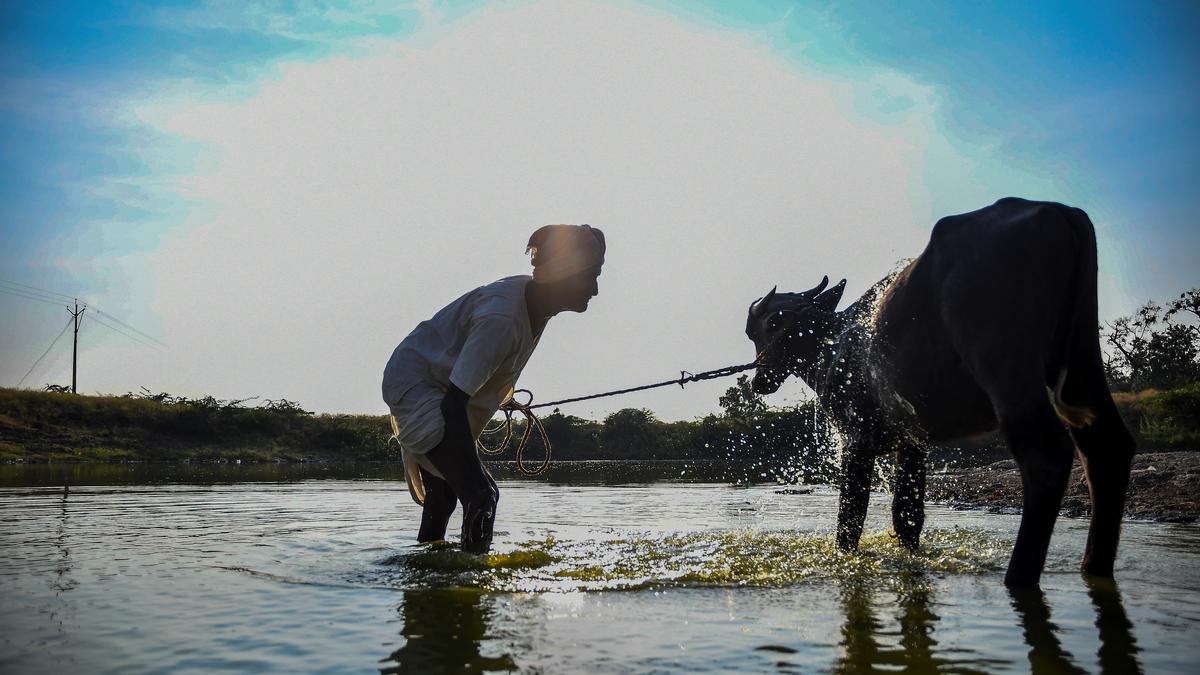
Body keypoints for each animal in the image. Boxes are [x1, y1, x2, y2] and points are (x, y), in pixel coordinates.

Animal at [745, 197, 1135, 587]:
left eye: (770, 324)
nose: (759, 381)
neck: (832, 346)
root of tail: (1055, 210)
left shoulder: (858, 438)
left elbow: (850, 519)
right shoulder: (911, 439)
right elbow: (907, 517)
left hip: (1007, 369)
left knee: (1045, 455)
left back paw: (1018, 576)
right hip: (1083, 357)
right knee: (1107, 447)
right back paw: (1093, 566)